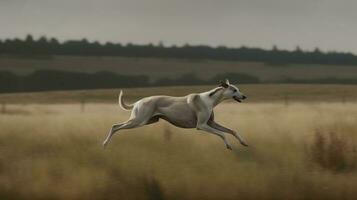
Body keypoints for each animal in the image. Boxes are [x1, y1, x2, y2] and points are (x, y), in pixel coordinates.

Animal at [102, 79, 248, 149]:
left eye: (238, 89)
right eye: (234, 90)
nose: (245, 96)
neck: (209, 99)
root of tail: (138, 102)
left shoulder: (211, 123)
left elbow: (232, 131)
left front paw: (243, 142)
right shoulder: (201, 126)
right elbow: (222, 134)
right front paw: (228, 145)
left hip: (148, 121)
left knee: (117, 126)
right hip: (138, 121)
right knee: (115, 126)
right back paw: (104, 144)